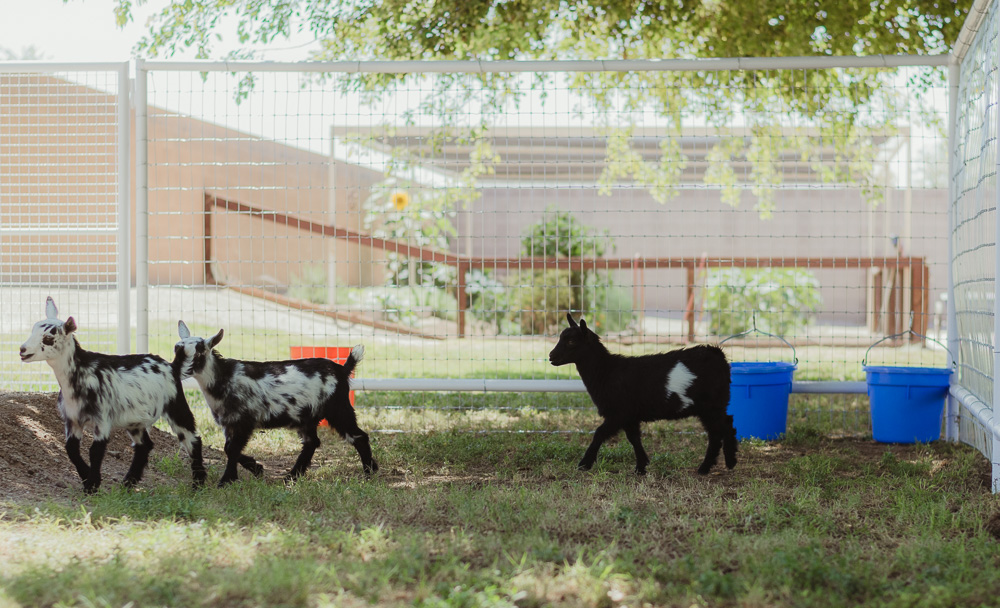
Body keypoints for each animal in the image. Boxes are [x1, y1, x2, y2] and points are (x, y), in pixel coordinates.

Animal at [19, 296, 207, 492]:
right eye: (33, 330)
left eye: (48, 338)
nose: (22, 350)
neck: (82, 373)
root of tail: (172, 366)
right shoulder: (72, 420)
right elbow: (71, 449)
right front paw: (87, 478)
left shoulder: (102, 419)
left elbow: (95, 451)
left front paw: (92, 485)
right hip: (135, 421)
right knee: (144, 446)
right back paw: (128, 482)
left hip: (176, 405)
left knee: (192, 439)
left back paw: (198, 484)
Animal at [174, 320, 376, 486]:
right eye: (176, 349)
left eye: (198, 353)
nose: (175, 370)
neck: (224, 378)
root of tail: (342, 370)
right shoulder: (229, 423)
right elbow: (228, 448)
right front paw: (256, 468)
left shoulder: (244, 422)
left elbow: (231, 449)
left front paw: (226, 481)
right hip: (307, 417)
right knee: (312, 442)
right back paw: (292, 477)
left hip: (338, 408)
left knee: (359, 436)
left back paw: (369, 472)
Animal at [548, 314, 736, 476]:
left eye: (571, 341)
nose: (551, 356)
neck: (606, 371)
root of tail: (717, 354)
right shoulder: (630, 416)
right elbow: (634, 439)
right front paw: (641, 467)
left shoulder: (618, 413)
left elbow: (599, 433)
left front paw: (584, 464)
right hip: (714, 406)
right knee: (727, 424)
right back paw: (727, 461)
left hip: (711, 405)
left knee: (718, 432)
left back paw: (711, 466)